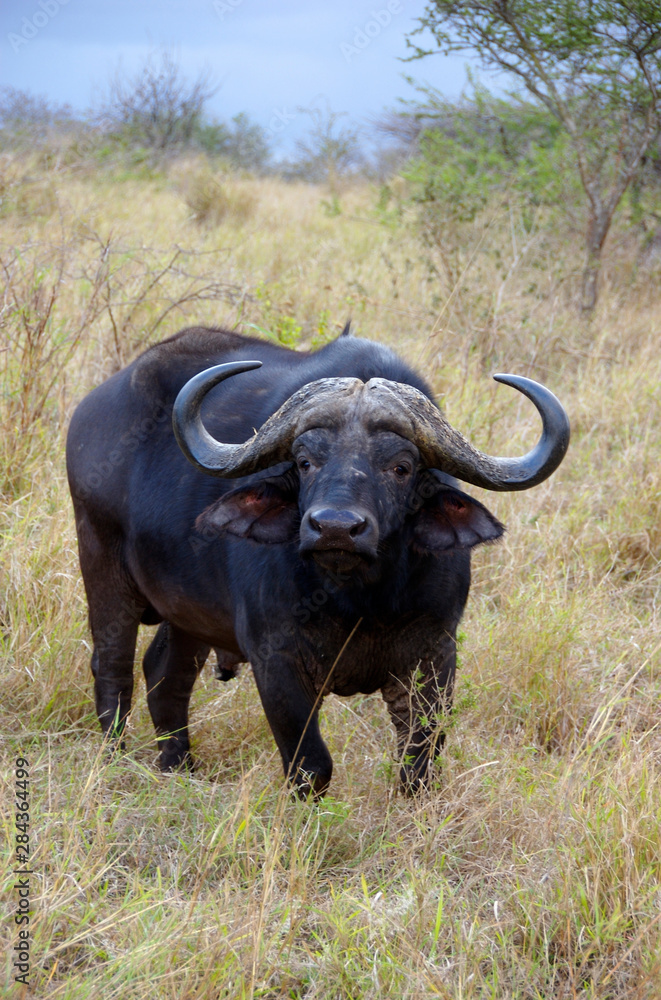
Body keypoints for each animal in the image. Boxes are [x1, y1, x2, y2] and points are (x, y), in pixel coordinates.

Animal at [66, 325, 569, 795]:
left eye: (401, 467)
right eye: (306, 461)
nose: (335, 527)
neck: (361, 601)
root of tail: (92, 410)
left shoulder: (435, 654)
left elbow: (419, 764)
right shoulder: (276, 660)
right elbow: (311, 766)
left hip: (188, 613)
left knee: (165, 675)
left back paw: (178, 768)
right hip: (102, 565)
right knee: (112, 670)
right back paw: (115, 762)